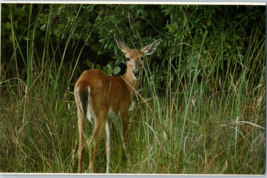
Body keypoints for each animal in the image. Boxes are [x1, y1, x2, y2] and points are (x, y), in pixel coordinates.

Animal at [74, 34, 162, 172]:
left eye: (141, 57)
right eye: (127, 58)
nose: (136, 72)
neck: (127, 85)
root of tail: (84, 84)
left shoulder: (109, 118)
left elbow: (108, 147)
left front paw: (108, 171)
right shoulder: (123, 112)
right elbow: (125, 140)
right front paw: (130, 164)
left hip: (80, 112)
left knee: (81, 145)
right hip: (100, 112)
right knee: (92, 144)